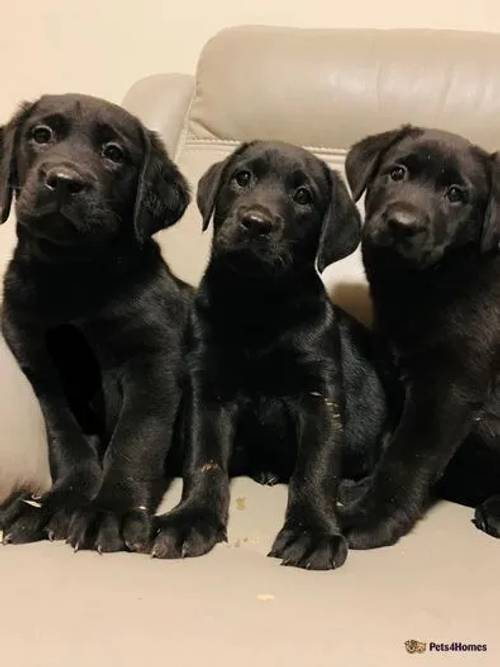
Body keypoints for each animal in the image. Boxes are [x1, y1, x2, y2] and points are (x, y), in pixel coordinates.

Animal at [0, 94, 190, 552]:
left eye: (114, 154)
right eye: (41, 135)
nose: (64, 181)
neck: (73, 277)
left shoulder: (155, 364)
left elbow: (136, 438)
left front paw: (113, 511)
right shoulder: (43, 370)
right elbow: (66, 438)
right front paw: (57, 503)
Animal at [149, 140, 390, 568]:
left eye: (303, 196)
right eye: (242, 177)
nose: (256, 222)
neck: (257, 305)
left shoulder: (319, 396)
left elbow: (316, 467)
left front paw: (312, 532)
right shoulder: (207, 390)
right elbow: (205, 460)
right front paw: (191, 519)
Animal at [342, 125, 500, 548]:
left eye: (456, 194)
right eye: (397, 173)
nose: (401, 223)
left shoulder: (448, 389)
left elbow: (407, 455)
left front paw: (372, 516)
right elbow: (388, 441)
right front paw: (360, 489)